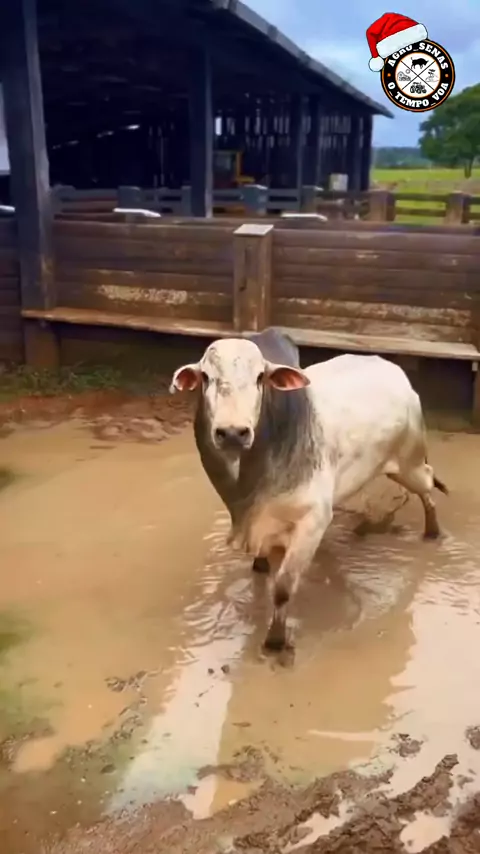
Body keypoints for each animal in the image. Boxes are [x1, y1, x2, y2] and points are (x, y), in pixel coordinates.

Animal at [170, 331, 447, 652]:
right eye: (206, 377)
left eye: (260, 377)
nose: (232, 433)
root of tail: (395, 371)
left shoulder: (311, 521)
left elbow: (282, 589)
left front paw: (275, 643)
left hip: (408, 463)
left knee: (428, 484)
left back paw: (433, 532)